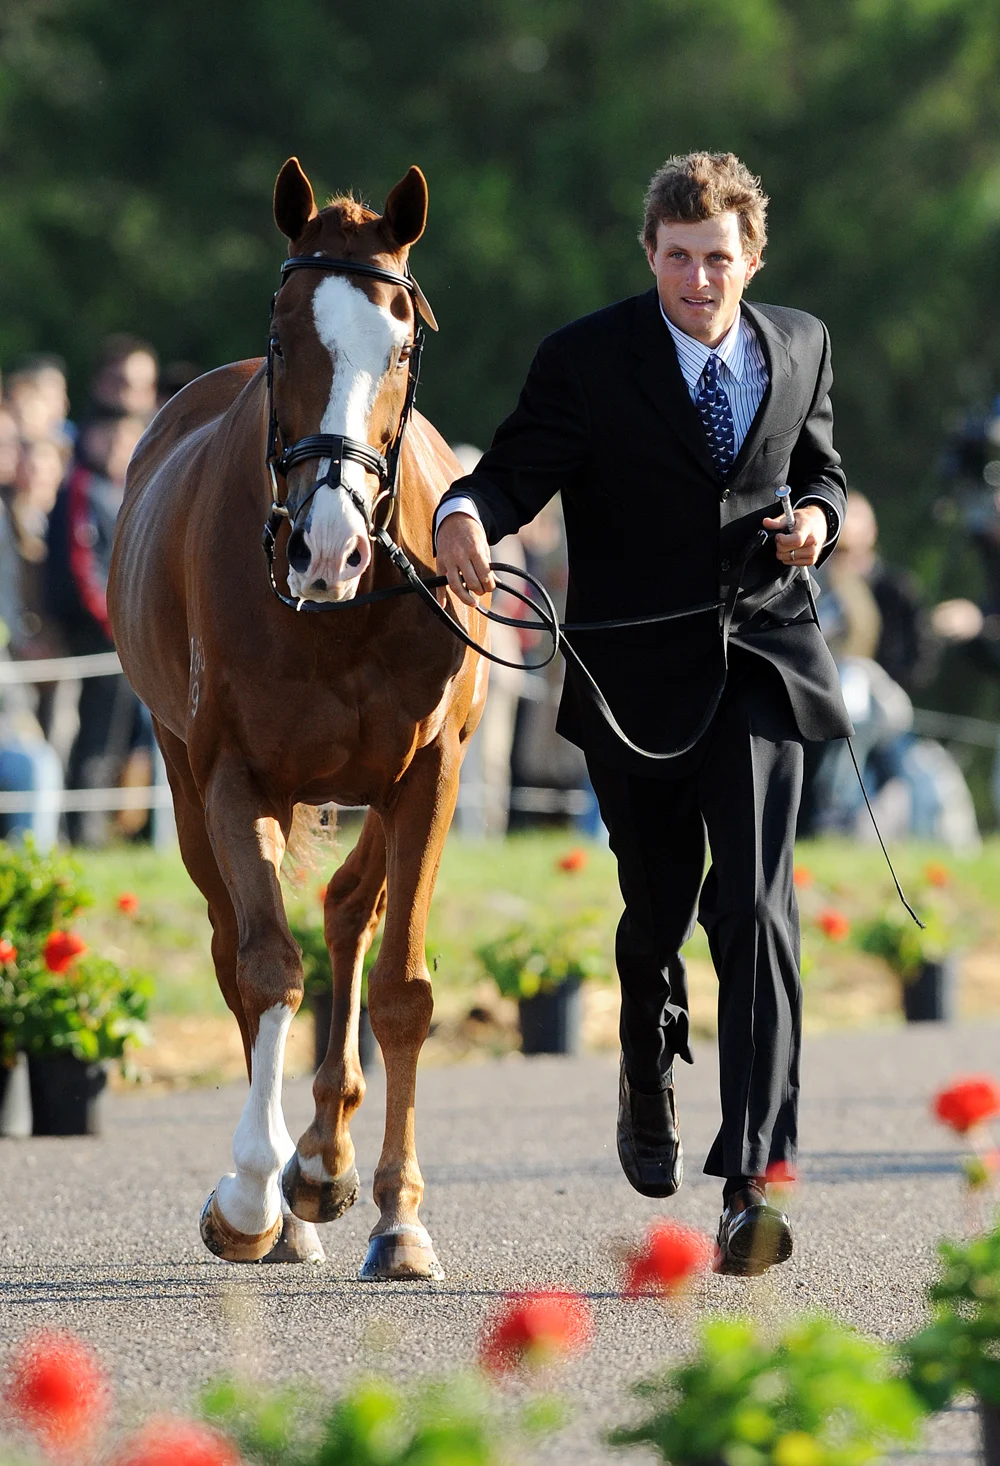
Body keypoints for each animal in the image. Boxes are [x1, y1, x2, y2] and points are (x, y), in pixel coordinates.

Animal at [107, 160, 483, 1278]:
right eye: (283, 340)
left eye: (400, 345)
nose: (329, 546)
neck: (341, 615)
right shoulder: (233, 772)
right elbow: (266, 968)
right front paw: (248, 1194)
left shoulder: (430, 770)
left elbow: (402, 986)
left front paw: (399, 1216)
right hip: (184, 775)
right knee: (240, 943)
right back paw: (290, 1189)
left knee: (350, 909)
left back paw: (324, 1161)